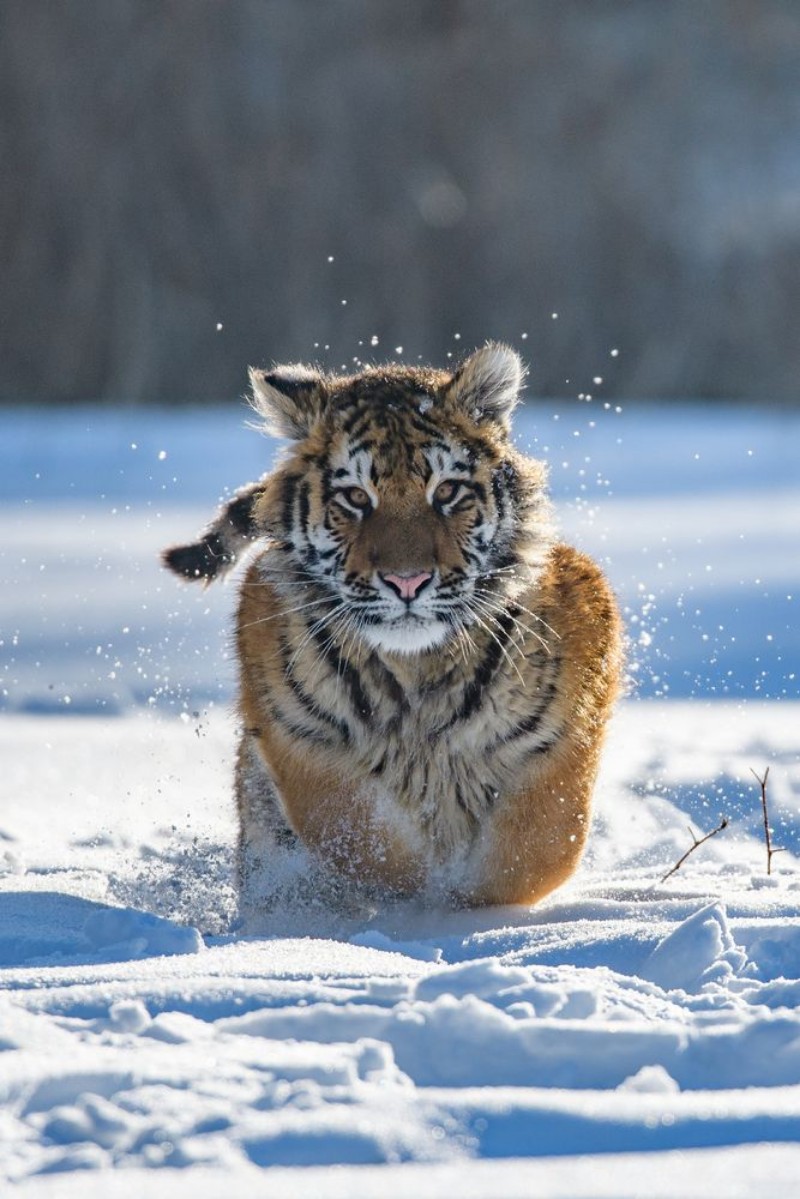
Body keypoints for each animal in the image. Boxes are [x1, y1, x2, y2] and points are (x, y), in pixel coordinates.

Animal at [163, 343, 622, 919]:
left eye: (446, 491)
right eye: (357, 498)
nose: (408, 581)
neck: (416, 667)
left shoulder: (565, 727)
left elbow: (536, 849)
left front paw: (462, 905)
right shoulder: (299, 736)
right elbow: (361, 836)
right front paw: (412, 899)